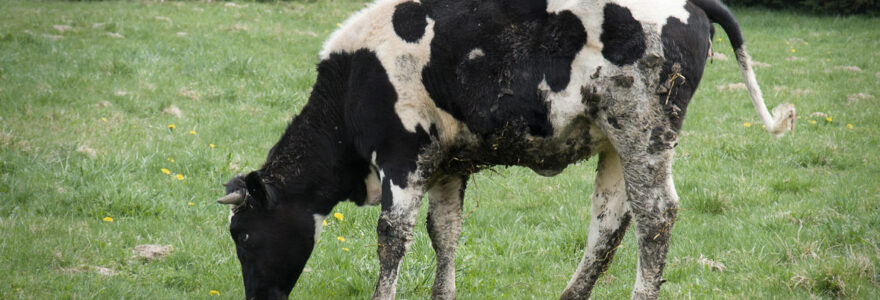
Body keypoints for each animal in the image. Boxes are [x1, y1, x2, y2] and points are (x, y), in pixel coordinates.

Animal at [217, 0, 796, 298]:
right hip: (615, 143)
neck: (353, 83)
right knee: (609, 223)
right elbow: (444, 233)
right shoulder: (446, 163)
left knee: (656, 216)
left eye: (243, 235)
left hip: (645, 129)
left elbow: (392, 238)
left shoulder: (402, 158)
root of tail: (694, 3)